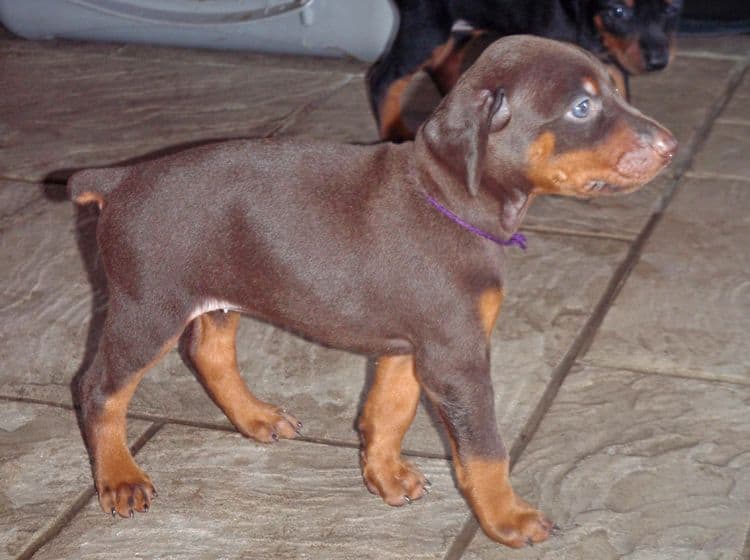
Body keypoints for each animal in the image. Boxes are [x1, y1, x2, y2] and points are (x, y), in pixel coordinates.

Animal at [67, 37, 680, 548]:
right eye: (581, 108)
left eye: (615, 88)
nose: (671, 145)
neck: (448, 199)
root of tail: (120, 178)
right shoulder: (456, 356)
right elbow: (485, 450)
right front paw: (508, 519)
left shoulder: (410, 347)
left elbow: (389, 411)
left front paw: (385, 476)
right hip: (149, 307)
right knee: (98, 389)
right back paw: (119, 477)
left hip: (218, 293)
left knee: (208, 351)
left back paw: (256, 417)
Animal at [372, 0, 688, 140]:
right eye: (619, 11)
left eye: (672, 7)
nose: (659, 61)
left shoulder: (609, 57)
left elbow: (620, 93)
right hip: (426, 29)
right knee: (383, 79)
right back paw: (395, 131)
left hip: (461, 27)